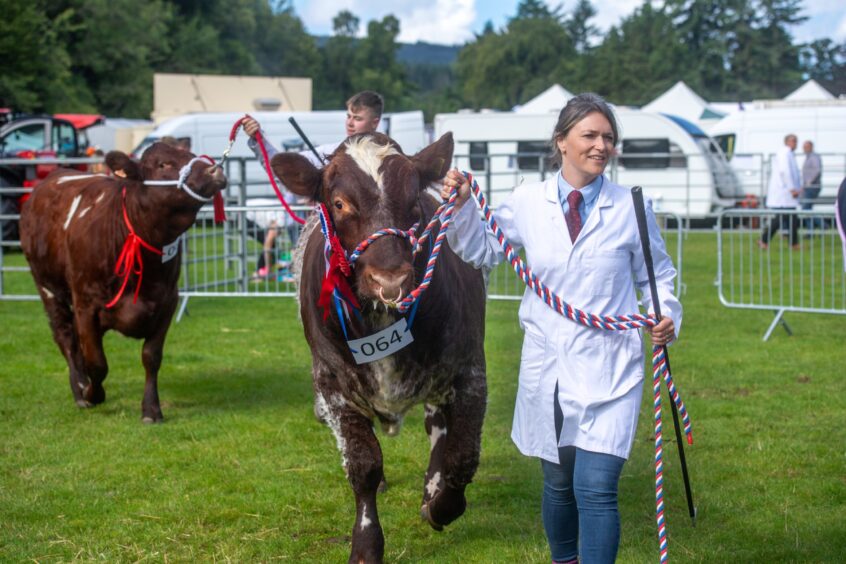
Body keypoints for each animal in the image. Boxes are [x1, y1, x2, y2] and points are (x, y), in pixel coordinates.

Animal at [22, 143, 229, 420]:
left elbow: (151, 356)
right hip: (47, 287)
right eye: (163, 164)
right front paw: (92, 393)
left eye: (190, 155)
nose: (214, 170)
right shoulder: (86, 304)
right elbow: (97, 363)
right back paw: (79, 389)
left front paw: (151, 409)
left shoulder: (168, 301)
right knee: (66, 337)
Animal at [272, 133, 484, 564]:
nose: (390, 280)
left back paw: (432, 488)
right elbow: (364, 465)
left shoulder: (469, 370)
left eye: (415, 200)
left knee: (438, 428)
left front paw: (441, 505)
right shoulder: (333, 384)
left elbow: (462, 454)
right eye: (339, 203)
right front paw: (366, 544)